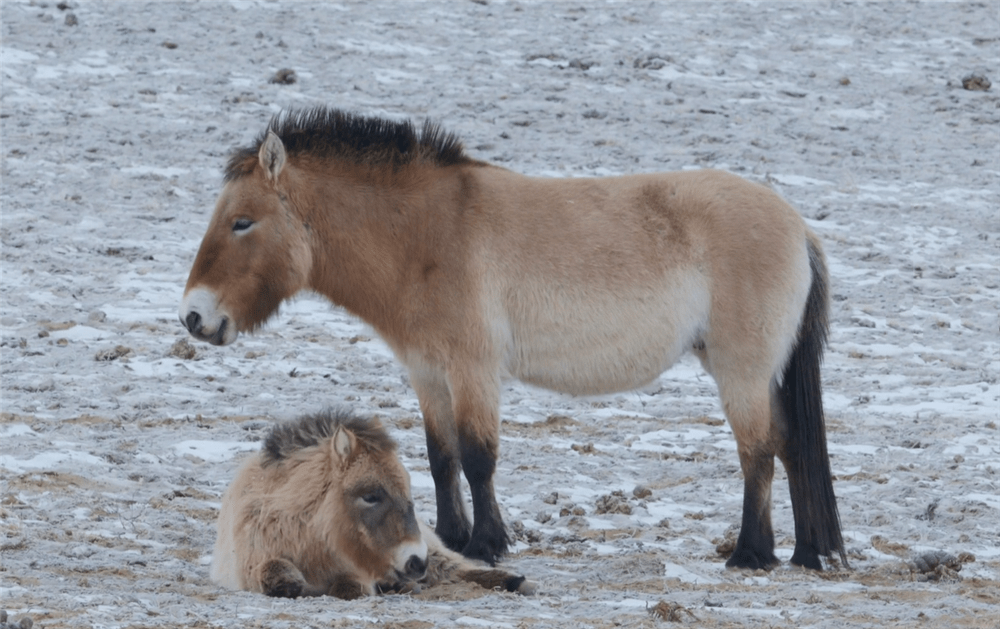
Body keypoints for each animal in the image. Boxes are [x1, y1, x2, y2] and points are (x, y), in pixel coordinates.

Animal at [182, 108, 844, 568]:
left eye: (242, 222)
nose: (194, 317)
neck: (425, 236)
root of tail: (798, 228)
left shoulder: (473, 367)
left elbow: (478, 456)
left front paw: (487, 544)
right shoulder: (428, 371)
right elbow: (441, 456)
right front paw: (450, 538)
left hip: (742, 371)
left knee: (759, 452)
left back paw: (751, 554)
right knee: (790, 447)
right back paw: (807, 553)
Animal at [214, 408, 536, 600]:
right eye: (370, 496)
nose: (415, 560)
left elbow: (350, 587)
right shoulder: (253, 562)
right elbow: (274, 573)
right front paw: (292, 584)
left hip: (433, 552)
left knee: (456, 567)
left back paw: (516, 582)